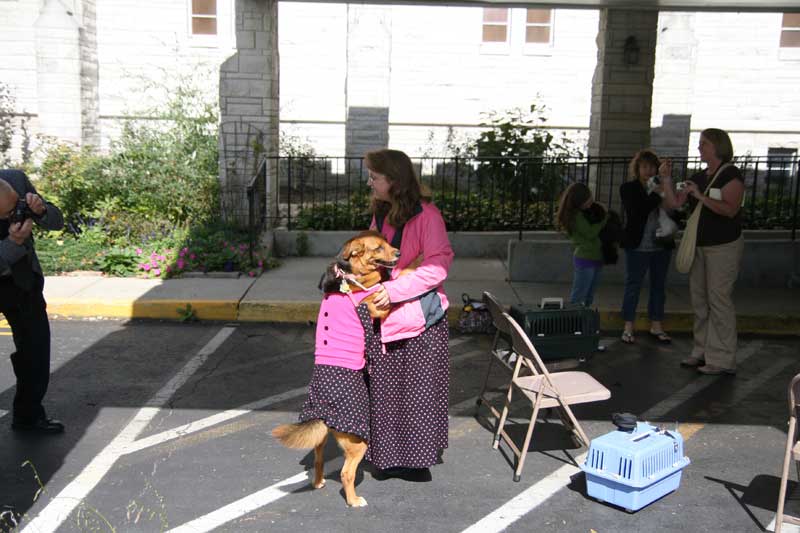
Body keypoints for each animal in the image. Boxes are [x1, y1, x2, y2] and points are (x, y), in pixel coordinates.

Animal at [274, 231, 416, 504]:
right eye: (378, 247)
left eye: (386, 242)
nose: (399, 253)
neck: (350, 275)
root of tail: (323, 410)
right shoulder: (375, 305)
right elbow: (387, 288)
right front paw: (409, 271)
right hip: (359, 441)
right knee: (346, 473)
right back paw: (353, 500)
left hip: (321, 440)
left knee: (318, 460)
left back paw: (319, 482)